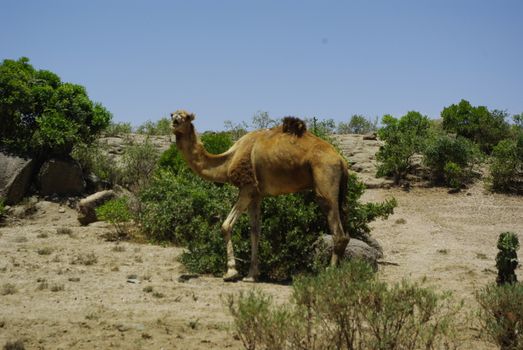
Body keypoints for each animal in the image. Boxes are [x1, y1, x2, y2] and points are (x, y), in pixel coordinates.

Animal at [172, 109, 352, 282]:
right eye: (172, 113)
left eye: (186, 116)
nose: (174, 121)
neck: (228, 161)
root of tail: (341, 161)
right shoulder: (256, 195)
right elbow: (255, 231)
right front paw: (252, 275)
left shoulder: (247, 187)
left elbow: (226, 226)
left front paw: (231, 272)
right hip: (340, 191)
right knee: (345, 231)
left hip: (325, 179)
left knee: (338, 232)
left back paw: (330, 273)